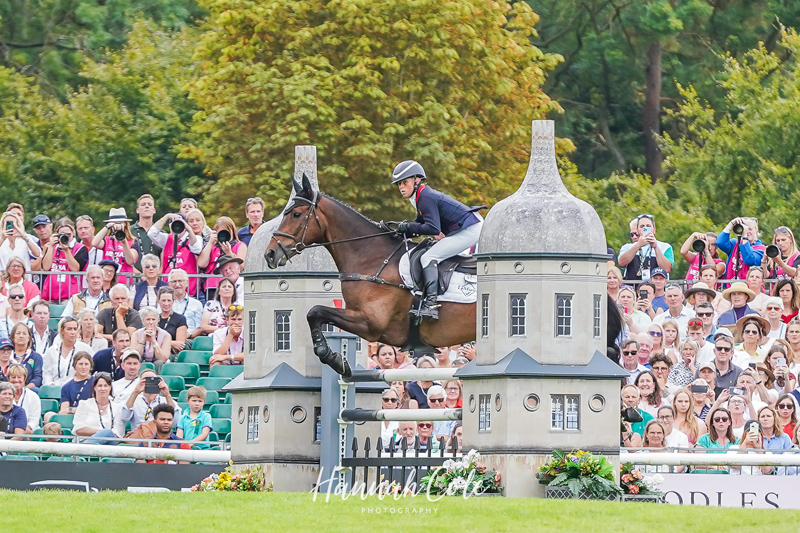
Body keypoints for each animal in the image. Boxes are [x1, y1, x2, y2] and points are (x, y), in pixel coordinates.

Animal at [264, 174, 476, 376]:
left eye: (296, 214)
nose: (270, 254)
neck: (372, 258)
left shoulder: (370, 323)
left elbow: (315, 311)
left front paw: (333, 358)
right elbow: (315, 314)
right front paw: (336, 359)